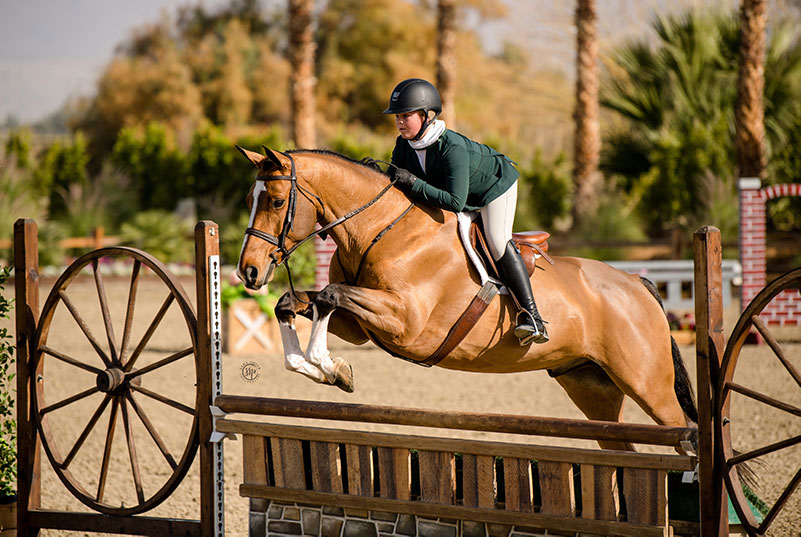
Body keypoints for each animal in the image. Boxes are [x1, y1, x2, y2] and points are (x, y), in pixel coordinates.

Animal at [233, 144, 692, 450]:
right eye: (250, 199)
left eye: (276, 201)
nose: (248, 272)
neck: (382, 228)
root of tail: (636, 283)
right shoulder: (361, 325)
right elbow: (293, 303)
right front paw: (320, 368)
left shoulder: (406, 323)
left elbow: (329, 295)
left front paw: (329, 367)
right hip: (590, 387)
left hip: (648, 384)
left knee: (681, 432)